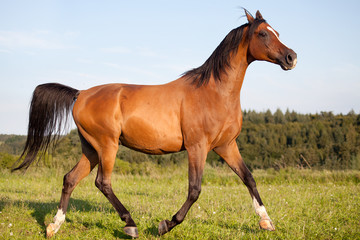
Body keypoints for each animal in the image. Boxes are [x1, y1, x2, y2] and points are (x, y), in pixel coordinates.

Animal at [12, 9, 296, 238]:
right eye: (262, 33)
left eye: (277, 32)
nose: (291, 57)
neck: (214, 92)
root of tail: (80, 93)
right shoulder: (198, 147)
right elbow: (195, 190)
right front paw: (165, 225)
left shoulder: (226, 146)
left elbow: (249, 179)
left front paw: (266, 222)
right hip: (107, 145)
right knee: (102, 182)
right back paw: (130, 224)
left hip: (91, 149)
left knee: (70, 179)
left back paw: (53, 226)